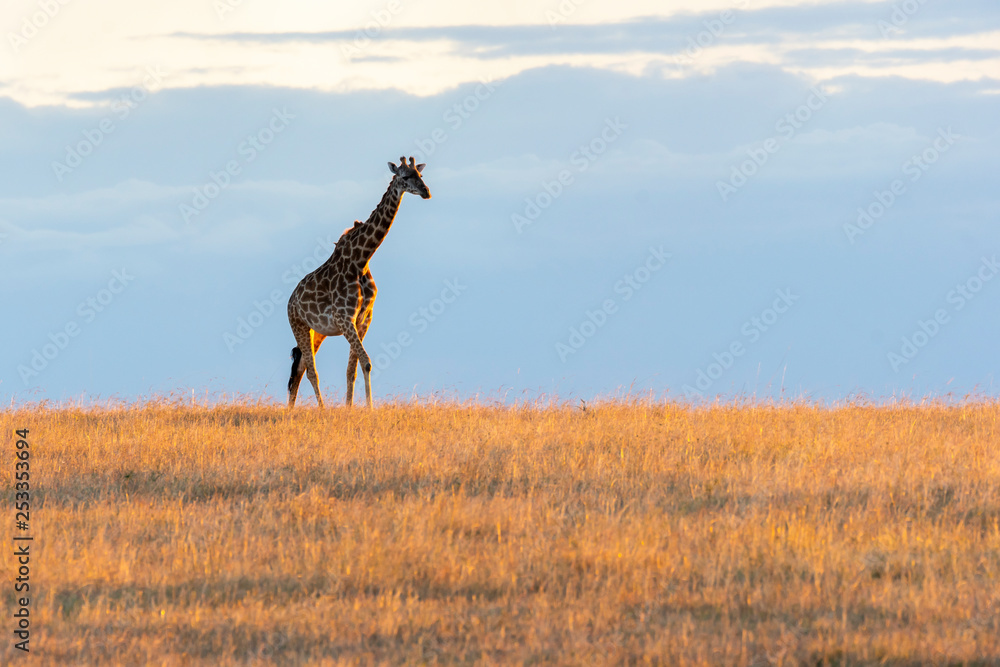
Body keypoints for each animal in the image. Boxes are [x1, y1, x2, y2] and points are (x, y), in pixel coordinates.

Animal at [286, 156, 431, 408]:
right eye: (405, 176)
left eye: (420, 175)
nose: (426, 192)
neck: (361, 259)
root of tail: (290, 302)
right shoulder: (345, 318)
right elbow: (366, 362)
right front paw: (369, 408)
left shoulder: (364, 319)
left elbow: (352, 369)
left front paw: (351, 408)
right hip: (299, 325)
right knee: (311, 370)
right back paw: (322, 409)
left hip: (318, 331)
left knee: (301, 367)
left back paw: (291, 410)